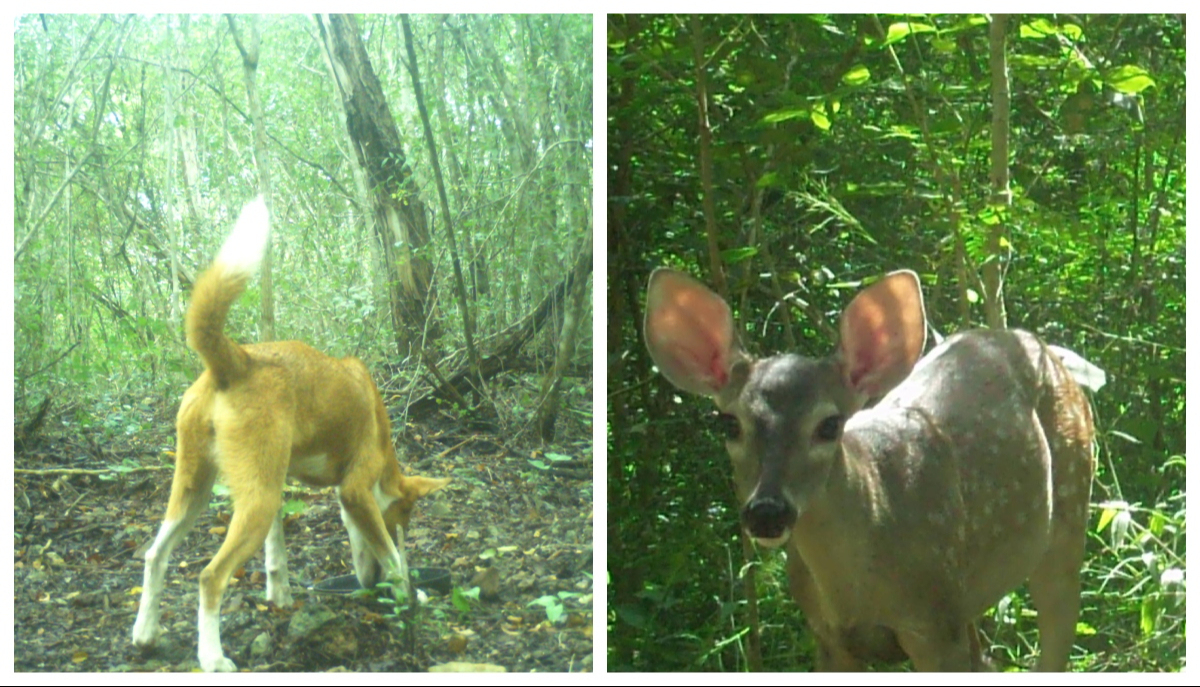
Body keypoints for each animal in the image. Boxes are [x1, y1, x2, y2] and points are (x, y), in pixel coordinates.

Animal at [131, 196, 451, 672]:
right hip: (252, 502)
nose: (369, 582)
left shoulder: (280, 482)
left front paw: (279, 596)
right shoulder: (353, 490)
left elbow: (276, 553)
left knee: (155, 555)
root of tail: (236, 360)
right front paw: (406, 596)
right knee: (209, 577)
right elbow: (395, 563)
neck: (378, 422)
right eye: (396, 524)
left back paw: (146, 633)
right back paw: (212, 657)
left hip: (196, 490)